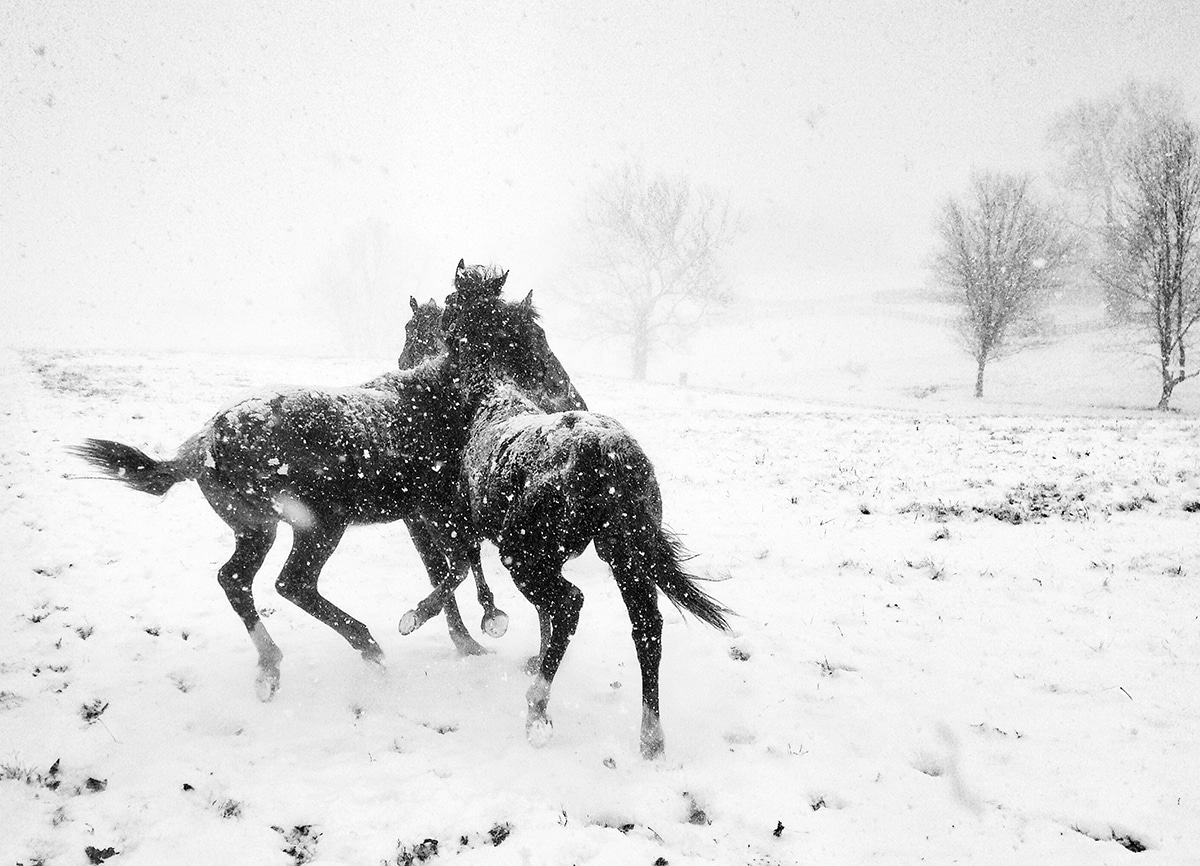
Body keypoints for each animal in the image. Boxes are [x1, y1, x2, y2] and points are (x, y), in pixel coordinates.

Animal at [70, 260, 585, 700]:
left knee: (235, 579)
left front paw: (479, 629)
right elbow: (453, 570)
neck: (440, 400)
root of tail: (207, 441)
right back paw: (368, 646)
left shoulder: (435, 515)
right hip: (319, 525)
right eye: (527, 330)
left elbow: (458, 568)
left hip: (256, 528)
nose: (568, 395)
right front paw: (432, 622)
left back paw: (272, 667)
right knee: (291, 584)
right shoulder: (436, 512)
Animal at [400, 265, 729, 758]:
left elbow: (456, 571)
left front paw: (424, 616)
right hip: (624, 556)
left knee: (571, 604)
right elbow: (476, 580)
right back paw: (650, 737)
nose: (414, 363)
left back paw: (538, 707)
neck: (493, 396)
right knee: (645, 628)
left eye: (448, 314)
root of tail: (606, 449)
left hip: (528, 560)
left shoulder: (461, 524)